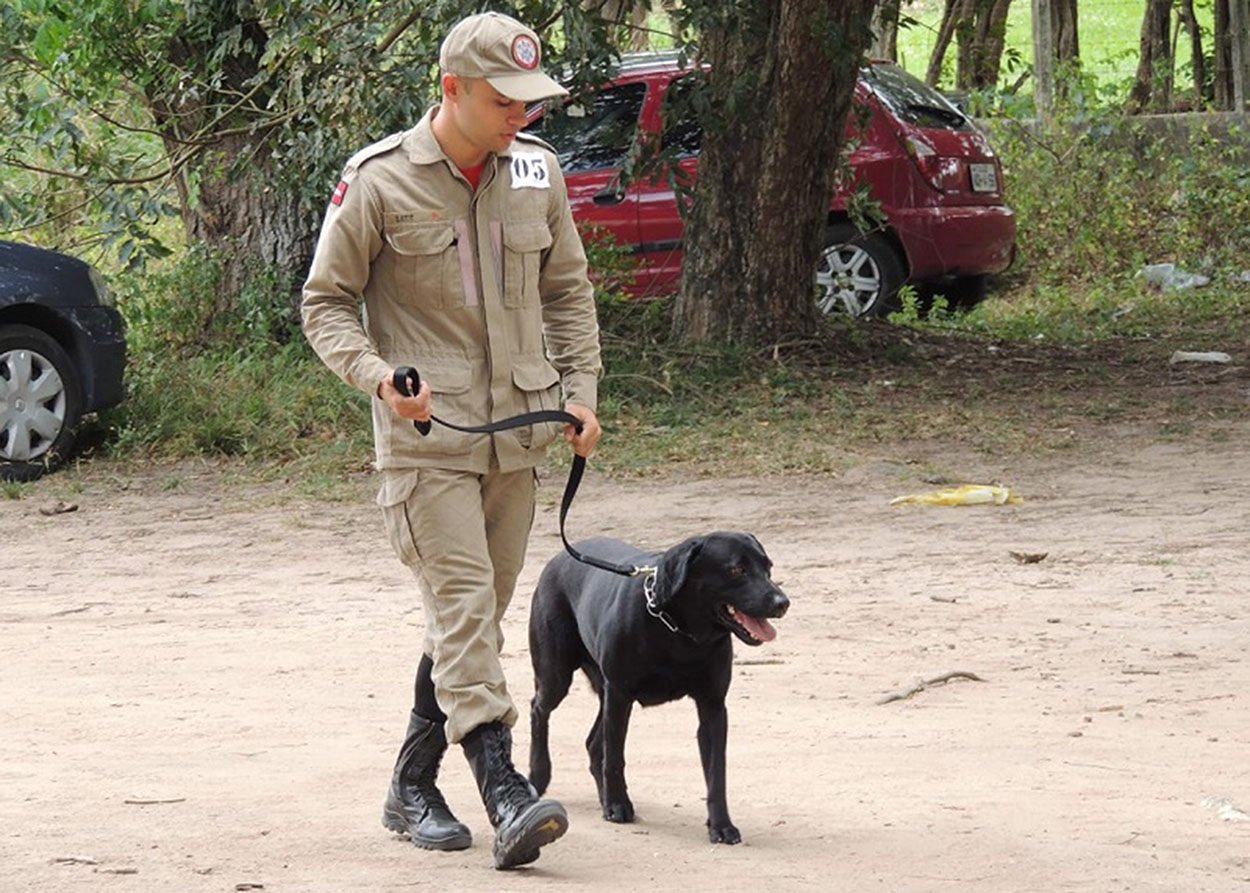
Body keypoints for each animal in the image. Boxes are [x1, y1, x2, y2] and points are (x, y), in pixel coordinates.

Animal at [530, 535, 790, 840]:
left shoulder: (713, 705)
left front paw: (721, 825)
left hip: (603, 690)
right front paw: (617, 806)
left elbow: (717, 773)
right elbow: (615, 757)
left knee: (594, 743)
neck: (680, 632)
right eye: (737, 570)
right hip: (556, 674)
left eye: (768, 567)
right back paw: (540, 775)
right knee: (539, 710)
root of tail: (558, 557)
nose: (782, 602)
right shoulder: (620, 694)